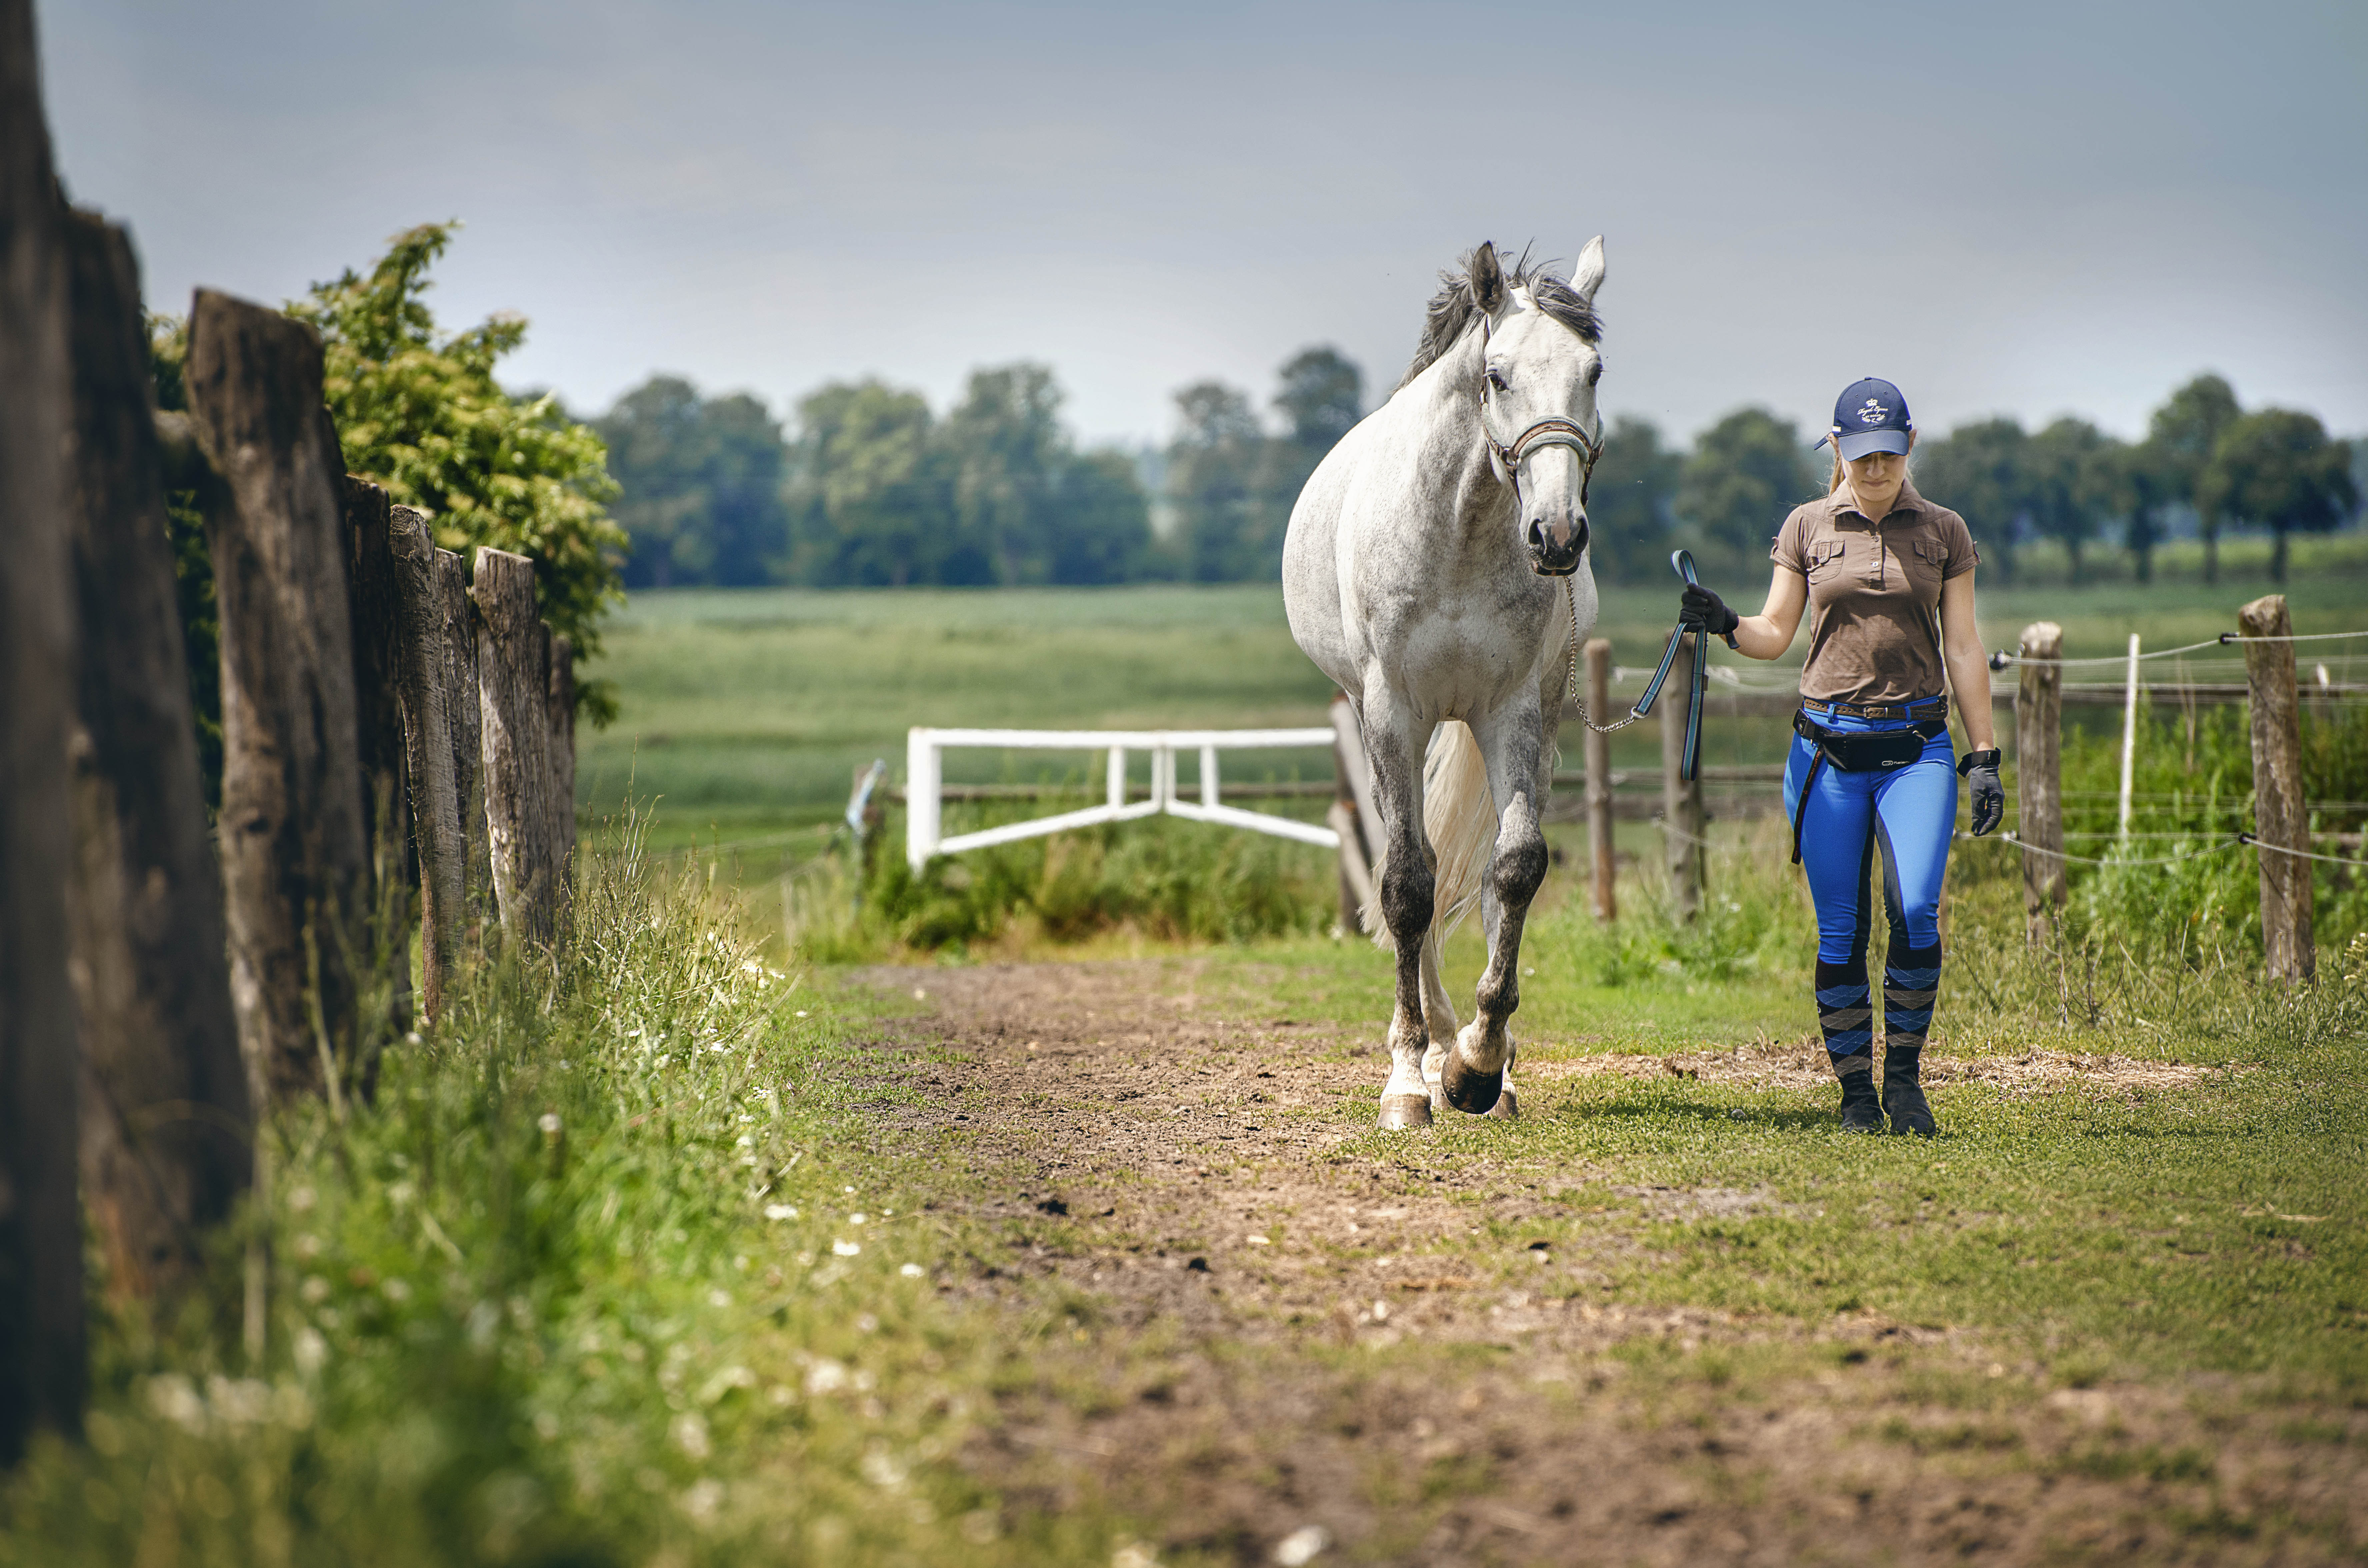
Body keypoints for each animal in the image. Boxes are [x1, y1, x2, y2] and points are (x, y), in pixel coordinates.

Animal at [1288, 239, 1601, 1132]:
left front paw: (1476, 1066)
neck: (1459, 530)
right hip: (1383, 729)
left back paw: (1486, 1067)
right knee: (1412, 875)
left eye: (1593, 371)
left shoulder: (1515, 711)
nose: (1557, 536)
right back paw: (1426, 1046)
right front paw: (1409, 1080)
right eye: (1496, 375)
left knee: (1497, 877)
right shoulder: (1393, 712)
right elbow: (1404, 886)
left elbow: (1516, 869)